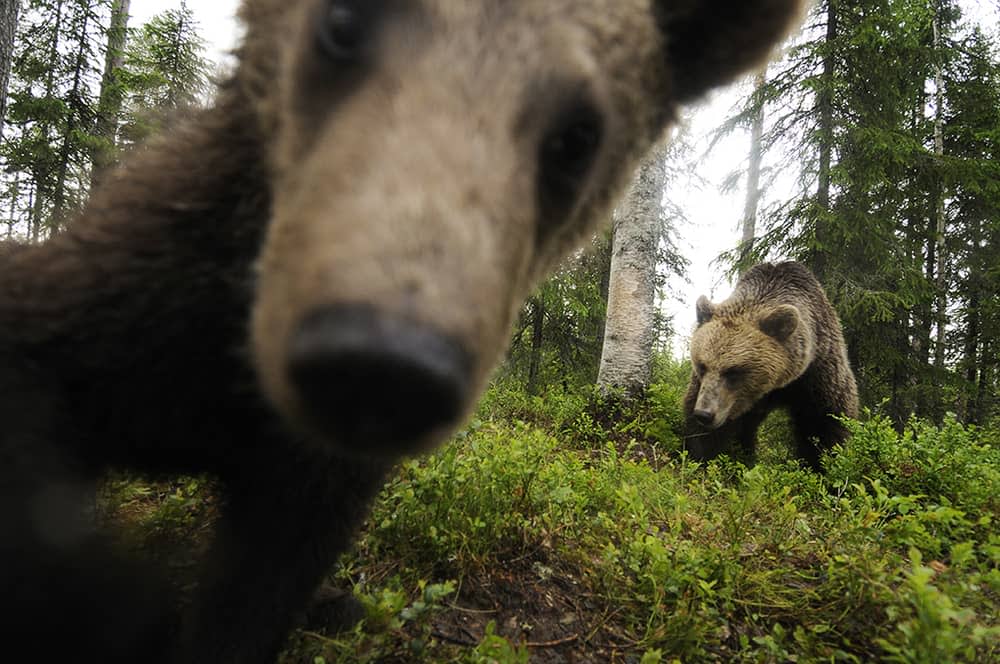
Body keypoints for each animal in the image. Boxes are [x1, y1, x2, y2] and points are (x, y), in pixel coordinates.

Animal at [0, 2, 800, 660]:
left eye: (579, 136)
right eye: (343, 22)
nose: (378, 362)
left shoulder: (311, 480)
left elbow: (258, 590)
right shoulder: (140, 296)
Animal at [684, 262, 864, 470]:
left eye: (733, 372)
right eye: (702, 366)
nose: (704, 414)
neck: (776, 385)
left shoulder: (818, 372)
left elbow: (825, 423)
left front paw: (821, 465)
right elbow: (707, 433)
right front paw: (705, 458)